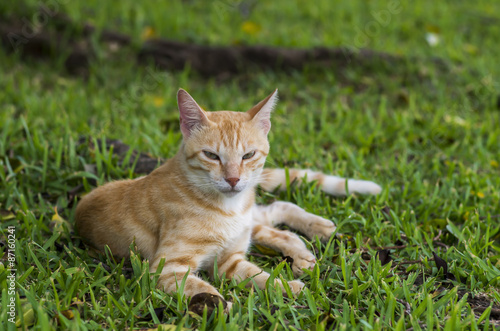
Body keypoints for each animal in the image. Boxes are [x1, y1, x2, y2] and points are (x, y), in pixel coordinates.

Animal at [74, 89, 380, 314]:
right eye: (211, 155)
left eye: (248, 155)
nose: (233, 179)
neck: (227, 208)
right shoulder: (173, 269)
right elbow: (206, 290)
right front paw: (227, 308)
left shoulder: (229, 259)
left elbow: (263, 277)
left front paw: (286, 288)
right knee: (275, 222)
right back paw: (303, 251)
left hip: (251, 222)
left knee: (275, 213)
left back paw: (313, 234)